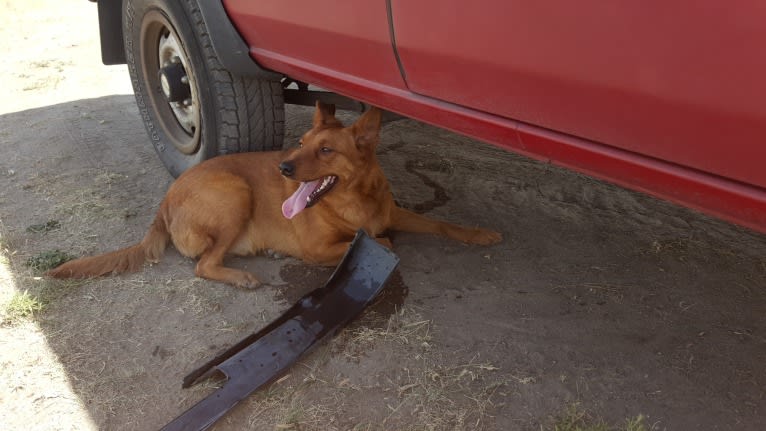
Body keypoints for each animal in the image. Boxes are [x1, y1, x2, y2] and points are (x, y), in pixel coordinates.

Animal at [48, 103, 504, 288]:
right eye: (300, 143)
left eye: (326, 150)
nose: (283, 168)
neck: (356, 200)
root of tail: (165, 200)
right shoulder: (322, 247)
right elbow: (381, 241)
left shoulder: (394, 213)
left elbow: (439, 223)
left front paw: (480, 233)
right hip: (235, 195)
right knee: (203, 265)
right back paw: (241, 276)